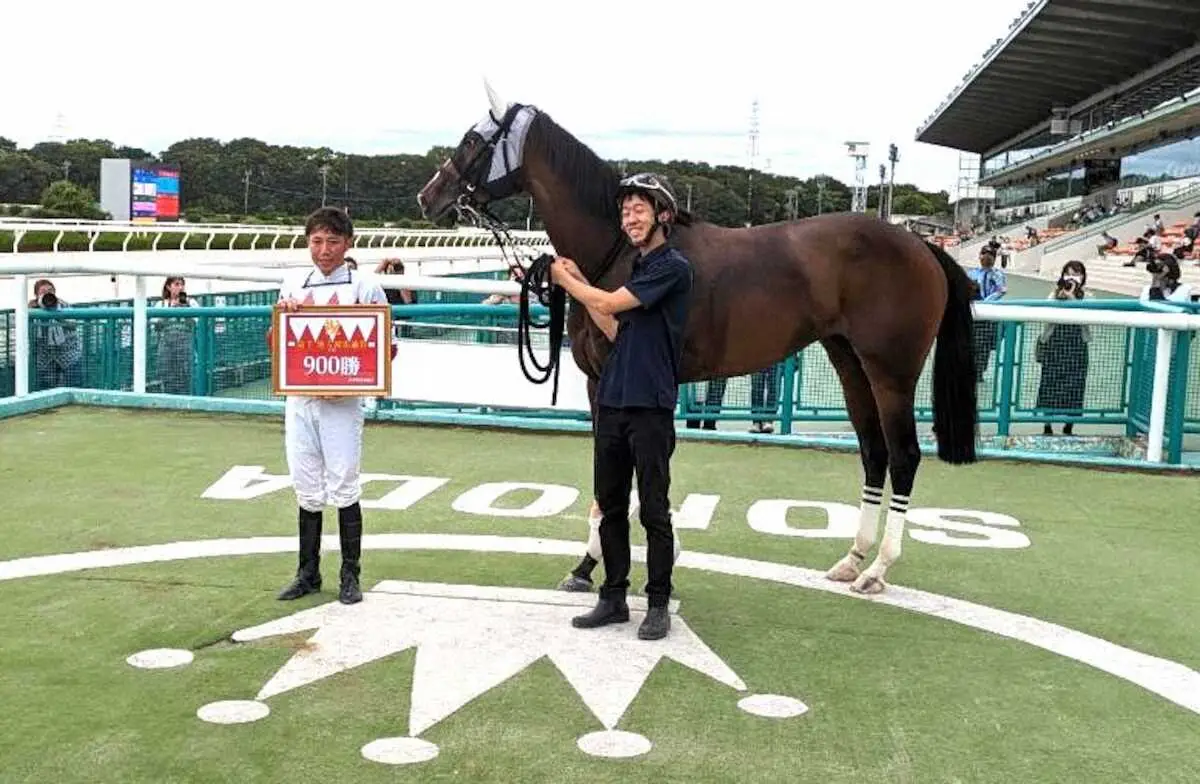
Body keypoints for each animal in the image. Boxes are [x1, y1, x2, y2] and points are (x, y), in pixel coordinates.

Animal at [417, 84, 979, 593]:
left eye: (473, 139)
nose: (429, 195)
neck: (623, 250)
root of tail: (923, 246)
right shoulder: (607, 385)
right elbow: (616, 476)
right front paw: (592, 564)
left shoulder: (622, 386)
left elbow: (623, 474)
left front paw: (613, 562)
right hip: (849, 361)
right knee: (874, 452)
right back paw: (852, 558)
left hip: (892, 370)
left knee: (903, 455)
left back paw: (878, 569)